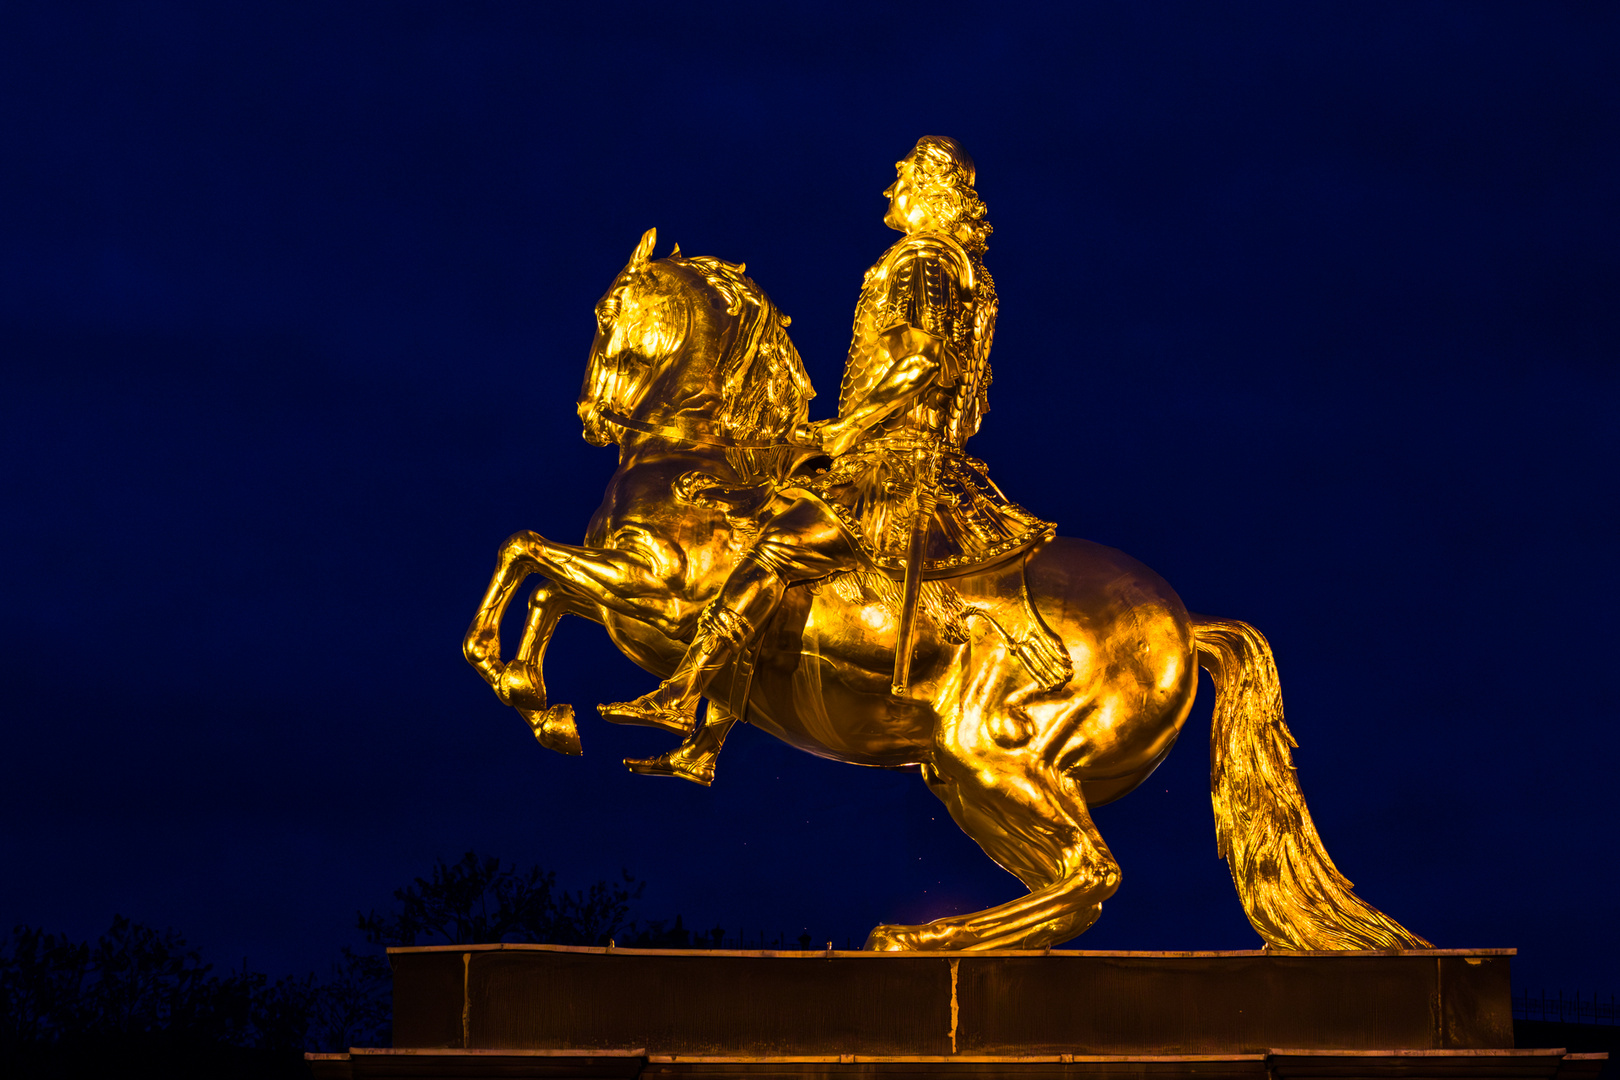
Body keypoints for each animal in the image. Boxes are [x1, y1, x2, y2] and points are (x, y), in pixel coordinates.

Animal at [463, 229, 1425, 952]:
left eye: (610, 310)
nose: (593, 417)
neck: (697, 462)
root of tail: (1186, 626)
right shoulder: (627, 594)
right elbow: (545, 582)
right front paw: (536, 701)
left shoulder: (664, 598)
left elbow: (531, 556)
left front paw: (584, 695)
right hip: (968, 775)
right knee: (1072, 880)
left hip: (993, 755)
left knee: (1091, 875)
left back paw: (917, 939)